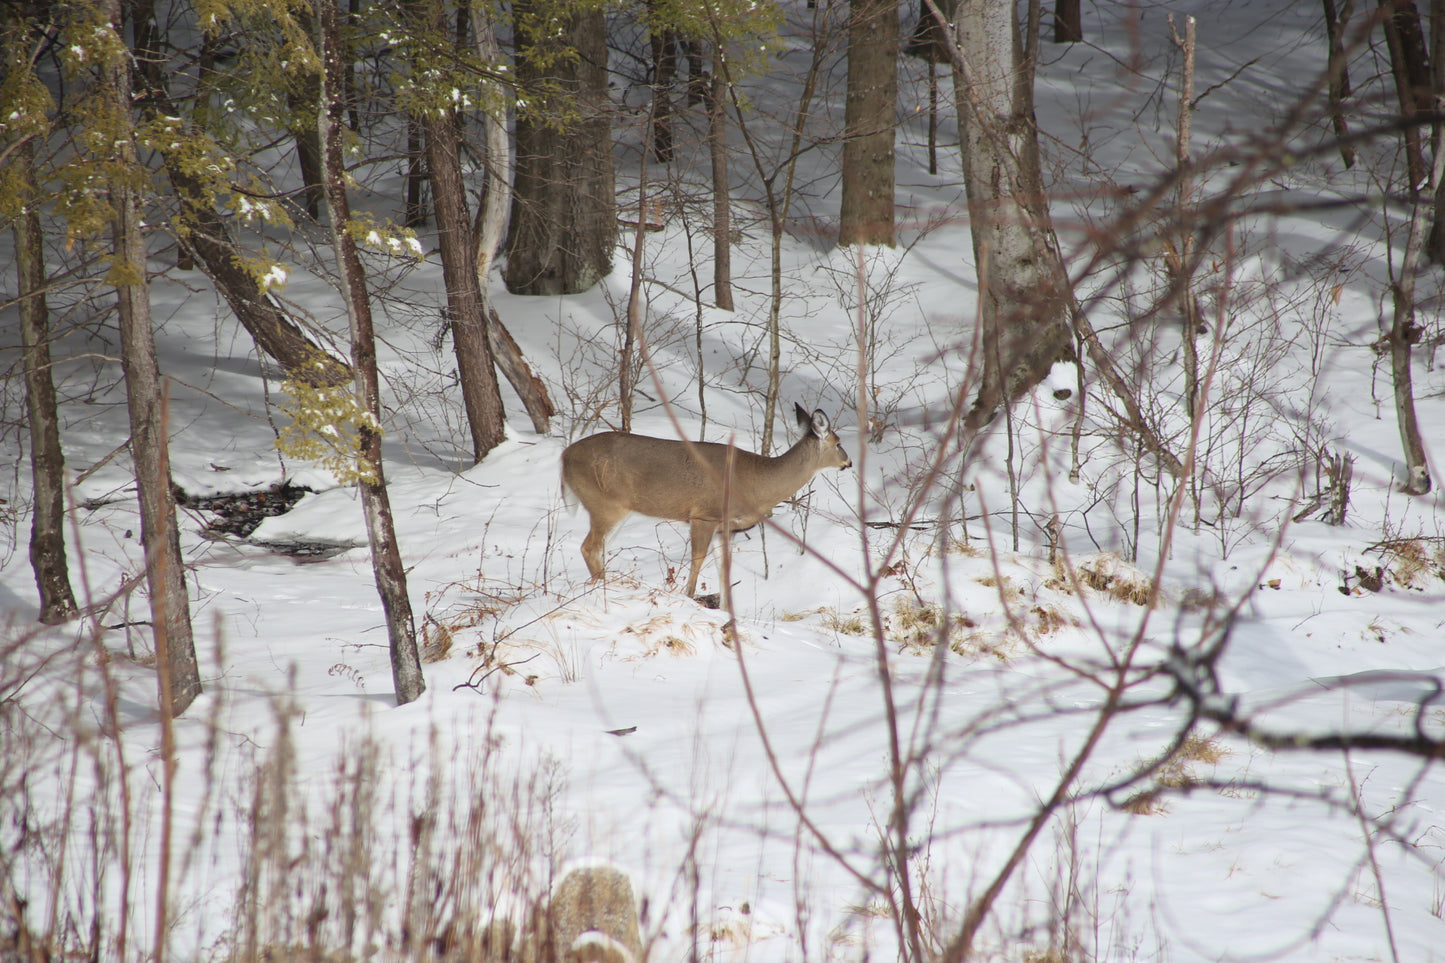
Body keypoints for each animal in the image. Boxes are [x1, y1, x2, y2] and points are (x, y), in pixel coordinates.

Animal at [561, 403, 852, 599]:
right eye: (838, 443)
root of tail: (564, 456)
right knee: (589, 547)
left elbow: (725, 571)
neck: (755, 483)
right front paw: (689, 598)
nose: (849, 462)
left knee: (598, 549)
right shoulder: (704, 515)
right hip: (606, 504)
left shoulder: (728, 528)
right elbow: (697, 562)